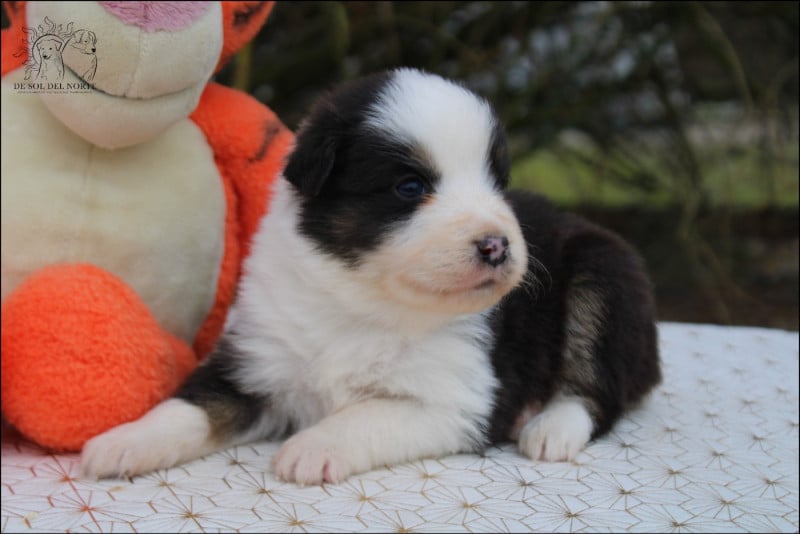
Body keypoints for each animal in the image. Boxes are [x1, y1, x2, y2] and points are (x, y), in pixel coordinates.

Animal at [81, 68, 661, 485]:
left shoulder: (454, 400)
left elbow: (367, 414)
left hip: (603, 272)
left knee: (599, 389)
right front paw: (121, 442)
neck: (361, 297)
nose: (498, 245)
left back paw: (548, 426)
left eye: (496, 181)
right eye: (409, 187)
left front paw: (312, 447)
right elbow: (190, 406)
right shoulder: (255, 359)